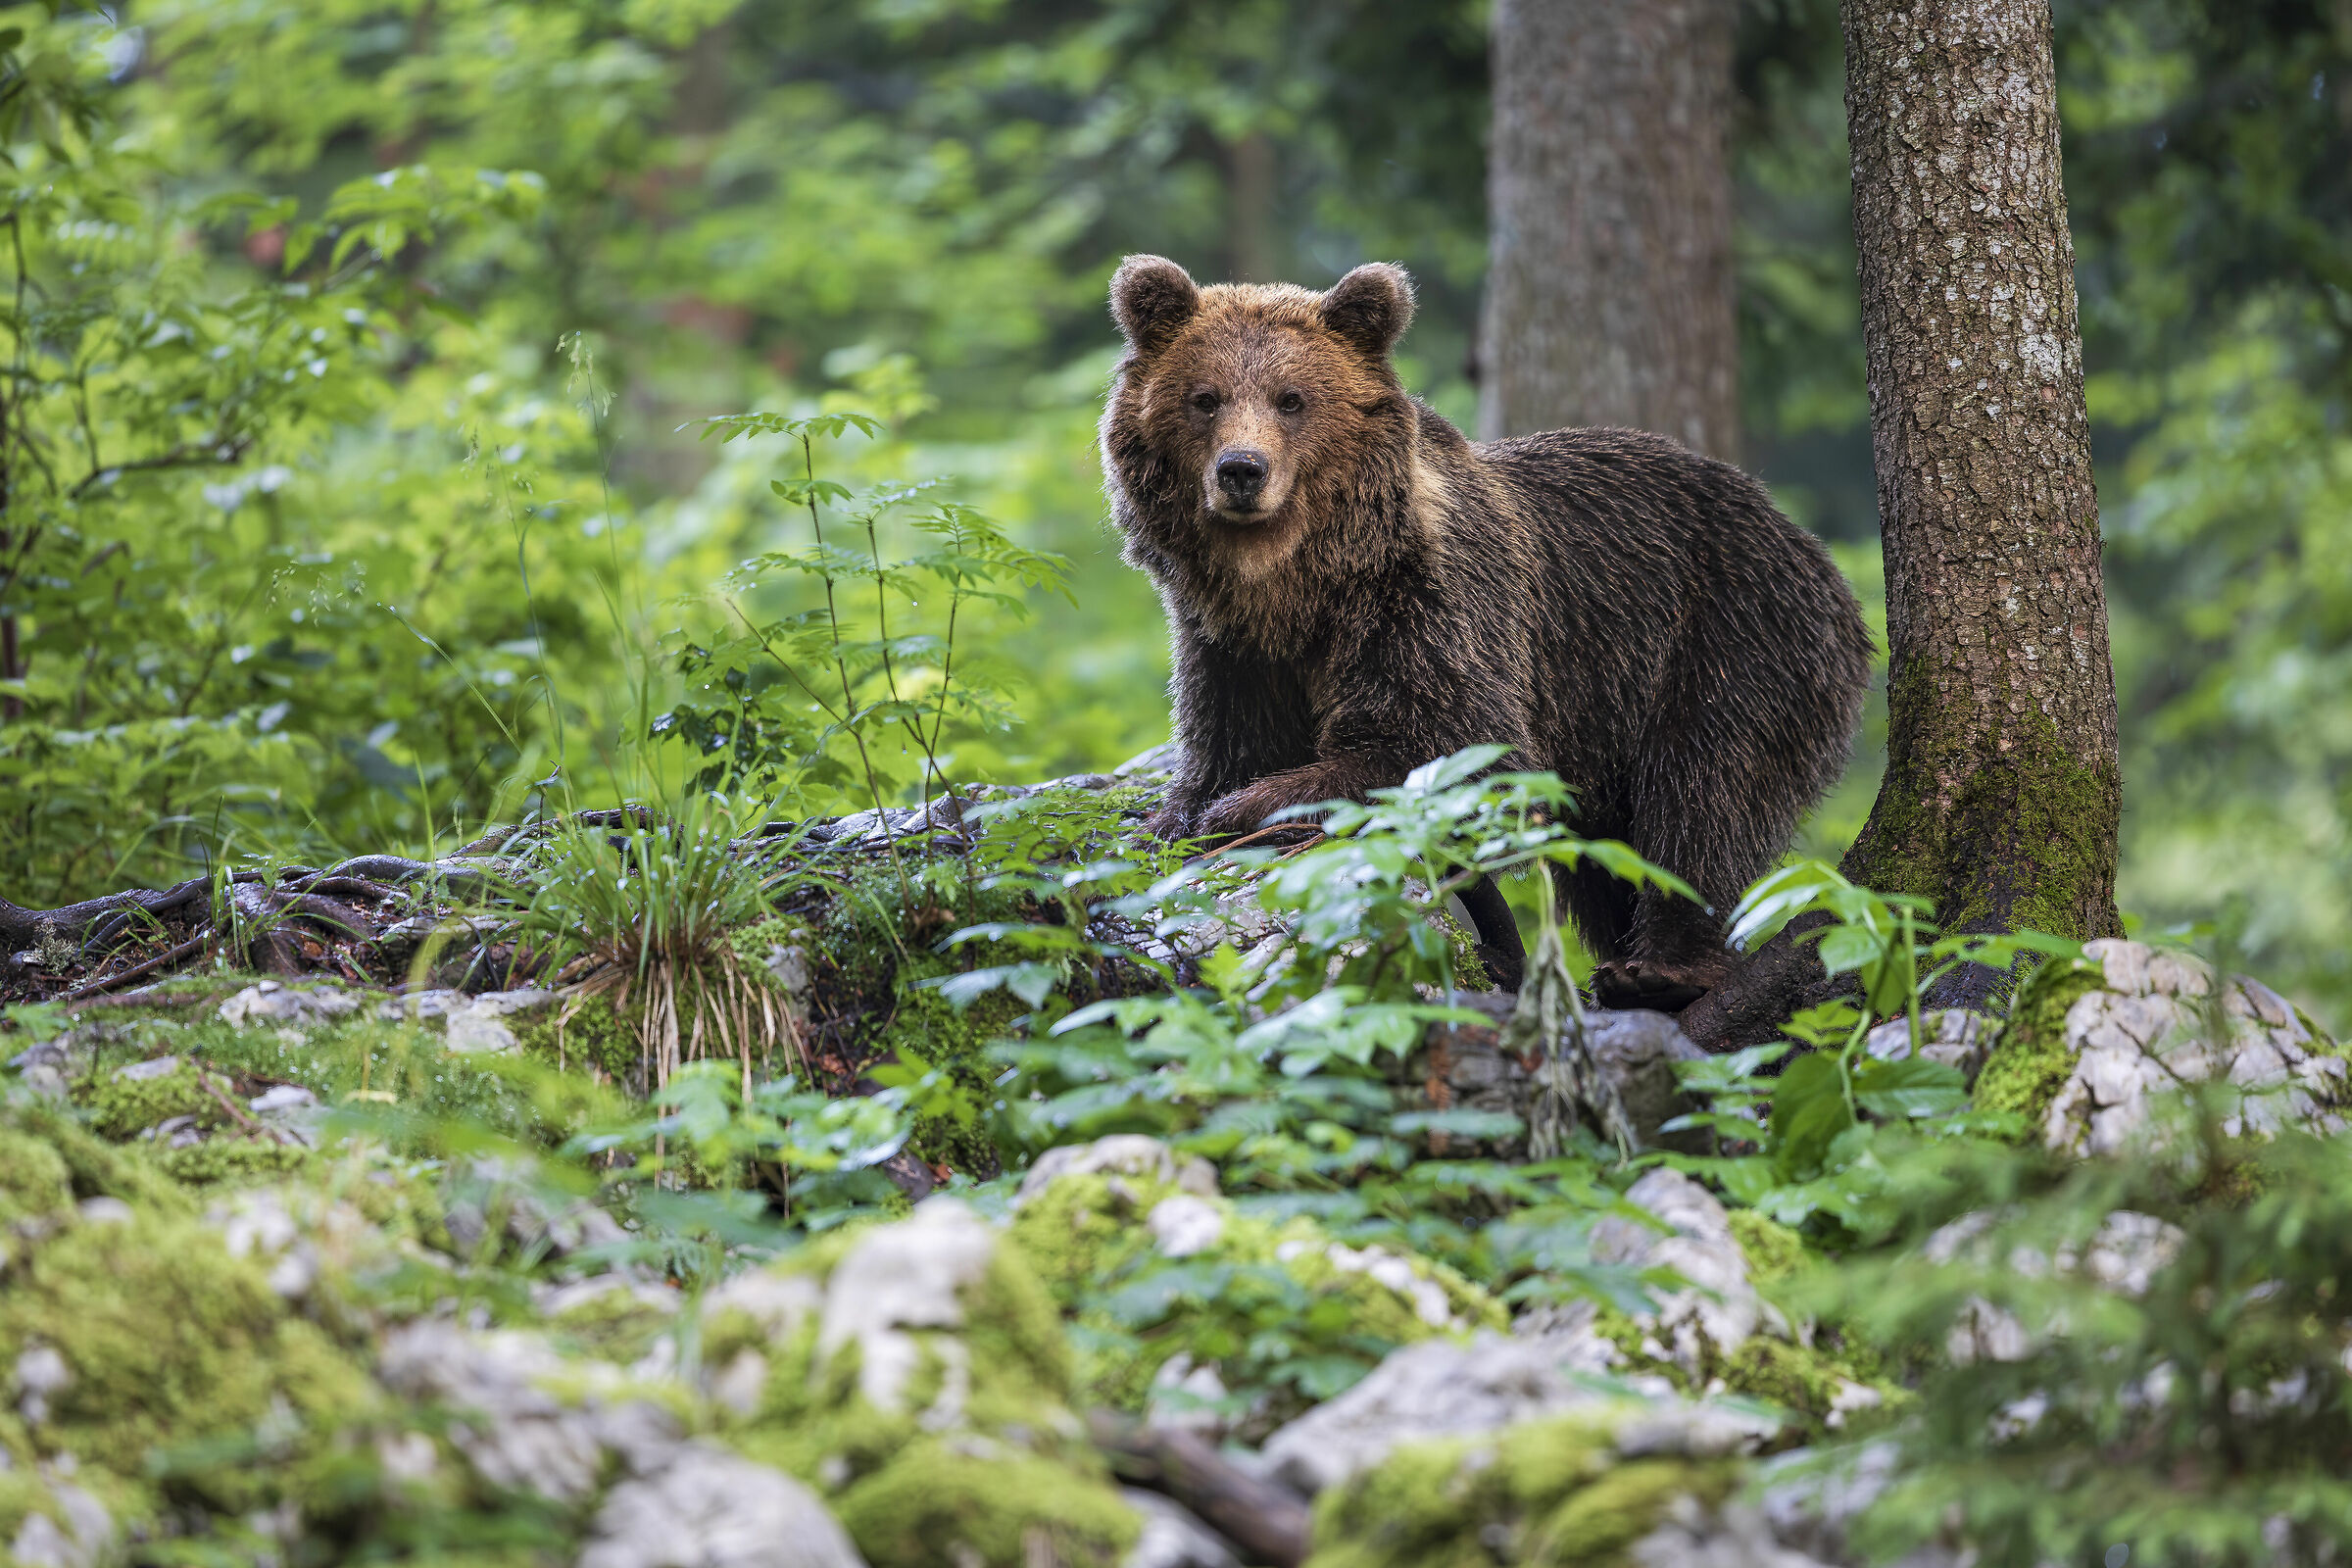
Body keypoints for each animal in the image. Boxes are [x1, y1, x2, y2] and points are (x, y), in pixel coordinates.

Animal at [1097, 255, 1873, 1010]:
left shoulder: (1435, 604)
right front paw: (1171, 815)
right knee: (1604, 852)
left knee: (1702, 793)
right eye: (1205, 398)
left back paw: (1661, 968)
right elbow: (1230, 744)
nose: (1241, 470)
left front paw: (1242, 808)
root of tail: (1805, 541)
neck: (1303, 585)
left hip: (1728, 635)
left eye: (1292, 399)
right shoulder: (1232, 646)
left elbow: (1455, 750)